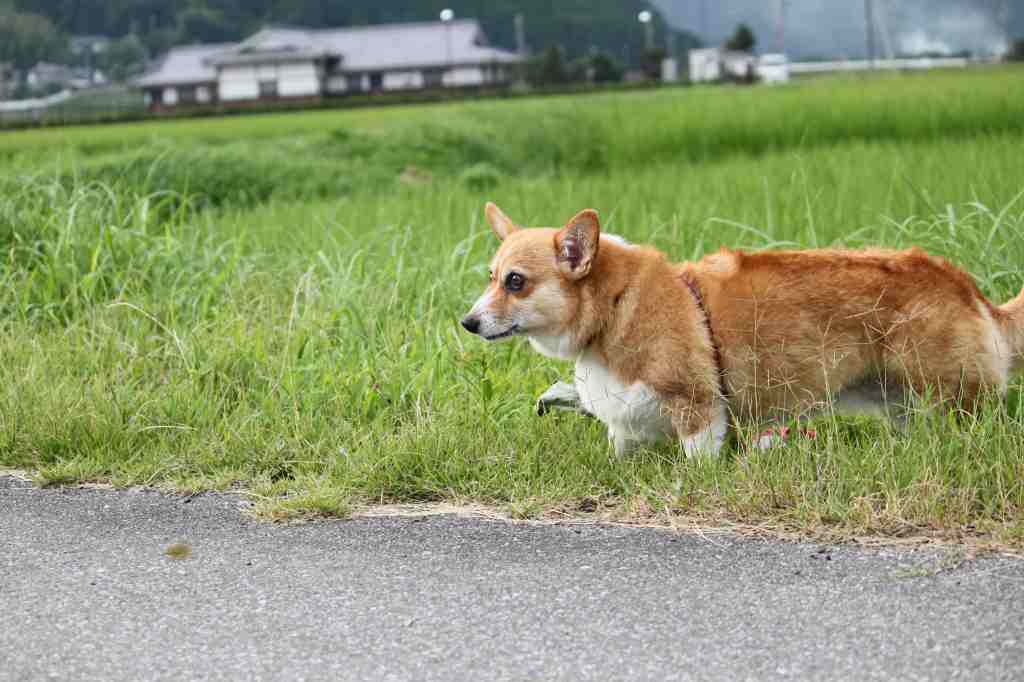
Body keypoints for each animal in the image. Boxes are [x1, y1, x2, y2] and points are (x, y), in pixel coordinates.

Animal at [464, 201, 1024, 456]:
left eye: (516, 282)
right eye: (491, 277)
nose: (467, 322)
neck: (613, 306)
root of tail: (968, 288)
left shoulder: (698, 407)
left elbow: (699, 460)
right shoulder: (625, 420)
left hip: (951, 397)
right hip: (904, 404)